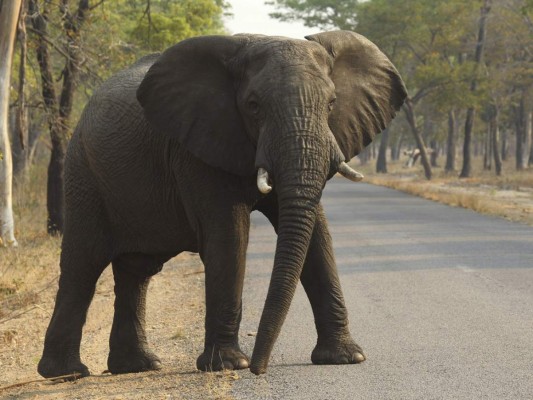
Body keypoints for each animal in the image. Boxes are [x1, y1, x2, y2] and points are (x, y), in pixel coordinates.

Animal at [36, 28, 404, 378]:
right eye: (253, 106)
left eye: (331, 104)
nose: (260, 368)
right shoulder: (196, 147)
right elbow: (229, 234)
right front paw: (230, 365)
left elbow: (317, 234)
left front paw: (346, 358)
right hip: (83, 173)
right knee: (83, 264)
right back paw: (67, 373)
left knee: (135, 271)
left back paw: (138, 366)